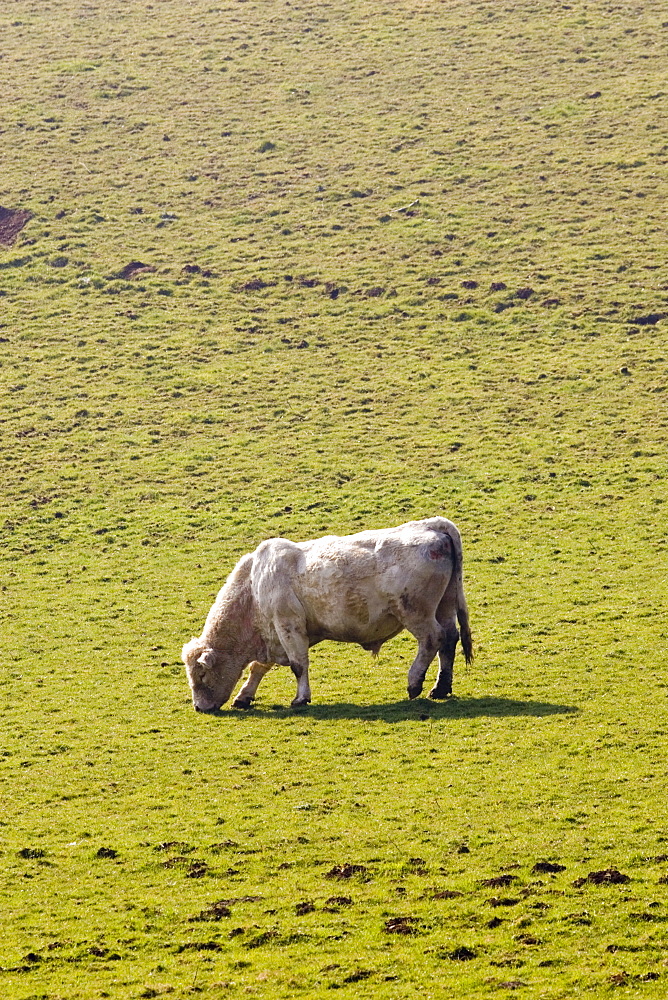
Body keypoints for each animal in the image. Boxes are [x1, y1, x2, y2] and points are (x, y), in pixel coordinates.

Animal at [183, 516, 472, 712]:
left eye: (201, 675)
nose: (199, 707)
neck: (253, 586)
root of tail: (432, 525)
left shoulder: (288, 625)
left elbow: (298, 664)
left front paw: (300, 698)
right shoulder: (272, 634)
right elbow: (258, 667)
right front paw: (244, 696)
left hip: (416, 613)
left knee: (432, 639)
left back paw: (415, 683)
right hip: (445, 606)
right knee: (449, 639)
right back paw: (441, 688)